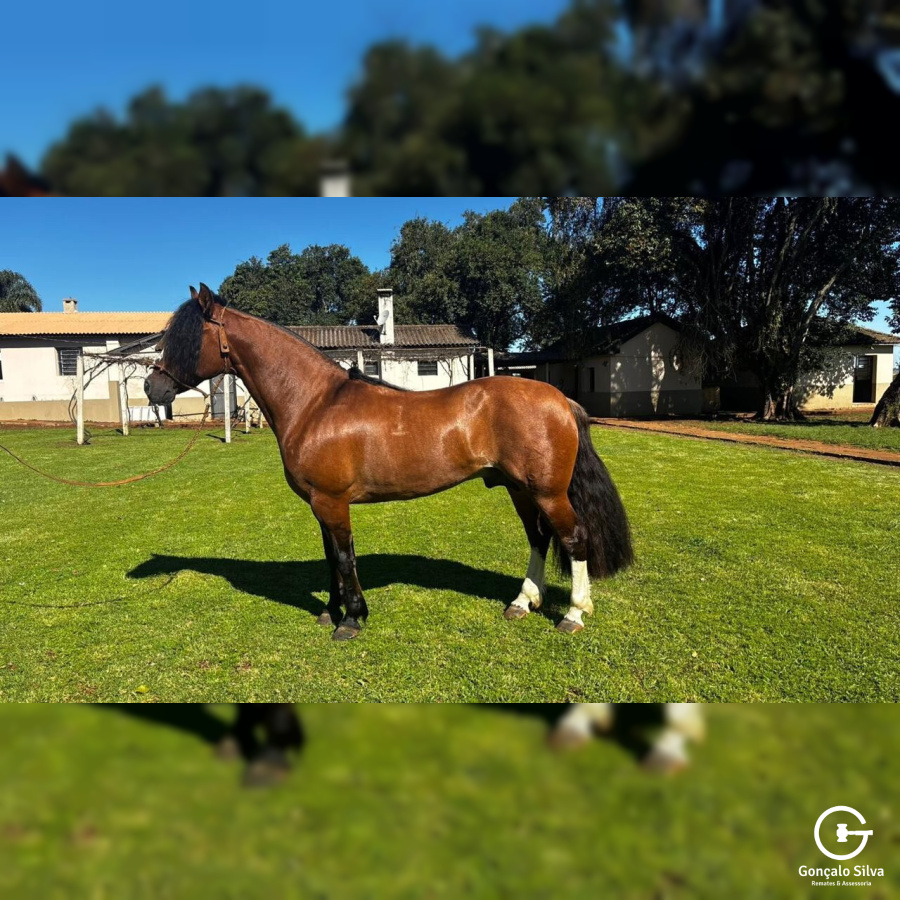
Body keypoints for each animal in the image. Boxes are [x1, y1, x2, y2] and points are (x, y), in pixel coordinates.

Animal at [144, 284, 633, 640]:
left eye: (188, 339)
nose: (153, 389)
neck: (314, 403)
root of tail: (561, 400)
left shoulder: (332, 503)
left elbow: (344, 558)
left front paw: (351, 620)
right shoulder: (321, 505)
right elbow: (331, 558)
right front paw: (332, 611)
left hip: (548, 492)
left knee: (573, 539)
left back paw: (573, 614)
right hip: (519, 489)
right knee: (538, 539)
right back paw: (521, 603)